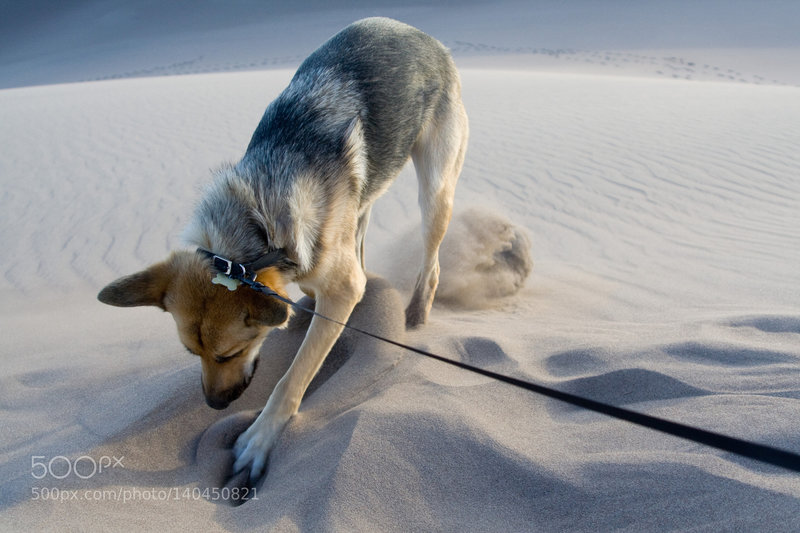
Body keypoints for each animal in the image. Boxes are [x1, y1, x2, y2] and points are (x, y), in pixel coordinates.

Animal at [97, 17, 468, 482]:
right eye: (190, 352)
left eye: (231, 353)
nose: (214, 405)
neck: (257, 217)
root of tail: (422, 34)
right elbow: (310, 290)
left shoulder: (341, 288)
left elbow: (292, 377)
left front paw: (260, 439)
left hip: (436, 191)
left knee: (430, 261)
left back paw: (417, 313)